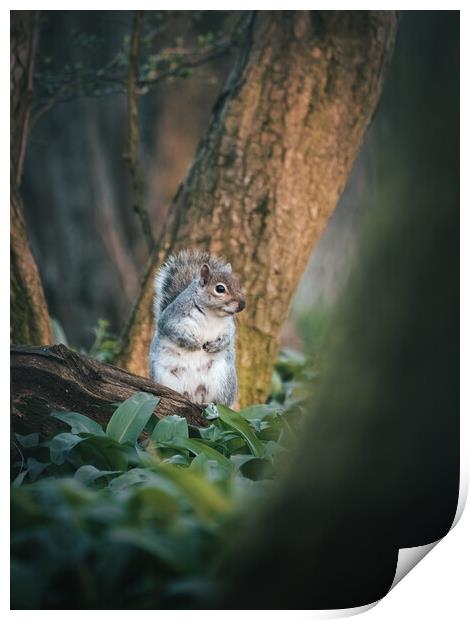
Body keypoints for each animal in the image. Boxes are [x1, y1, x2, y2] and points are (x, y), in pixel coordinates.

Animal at [150, 249, 246, 410]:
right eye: (220, 288)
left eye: (238, 284)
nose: (242, 304)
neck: (212, 314)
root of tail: (194, 396)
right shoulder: (171, 318)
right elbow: (171, 330)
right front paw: (192, 343)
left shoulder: (229, 326)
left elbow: (229, 337)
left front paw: (217, 345)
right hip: (164, 378)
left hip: (223, 380)